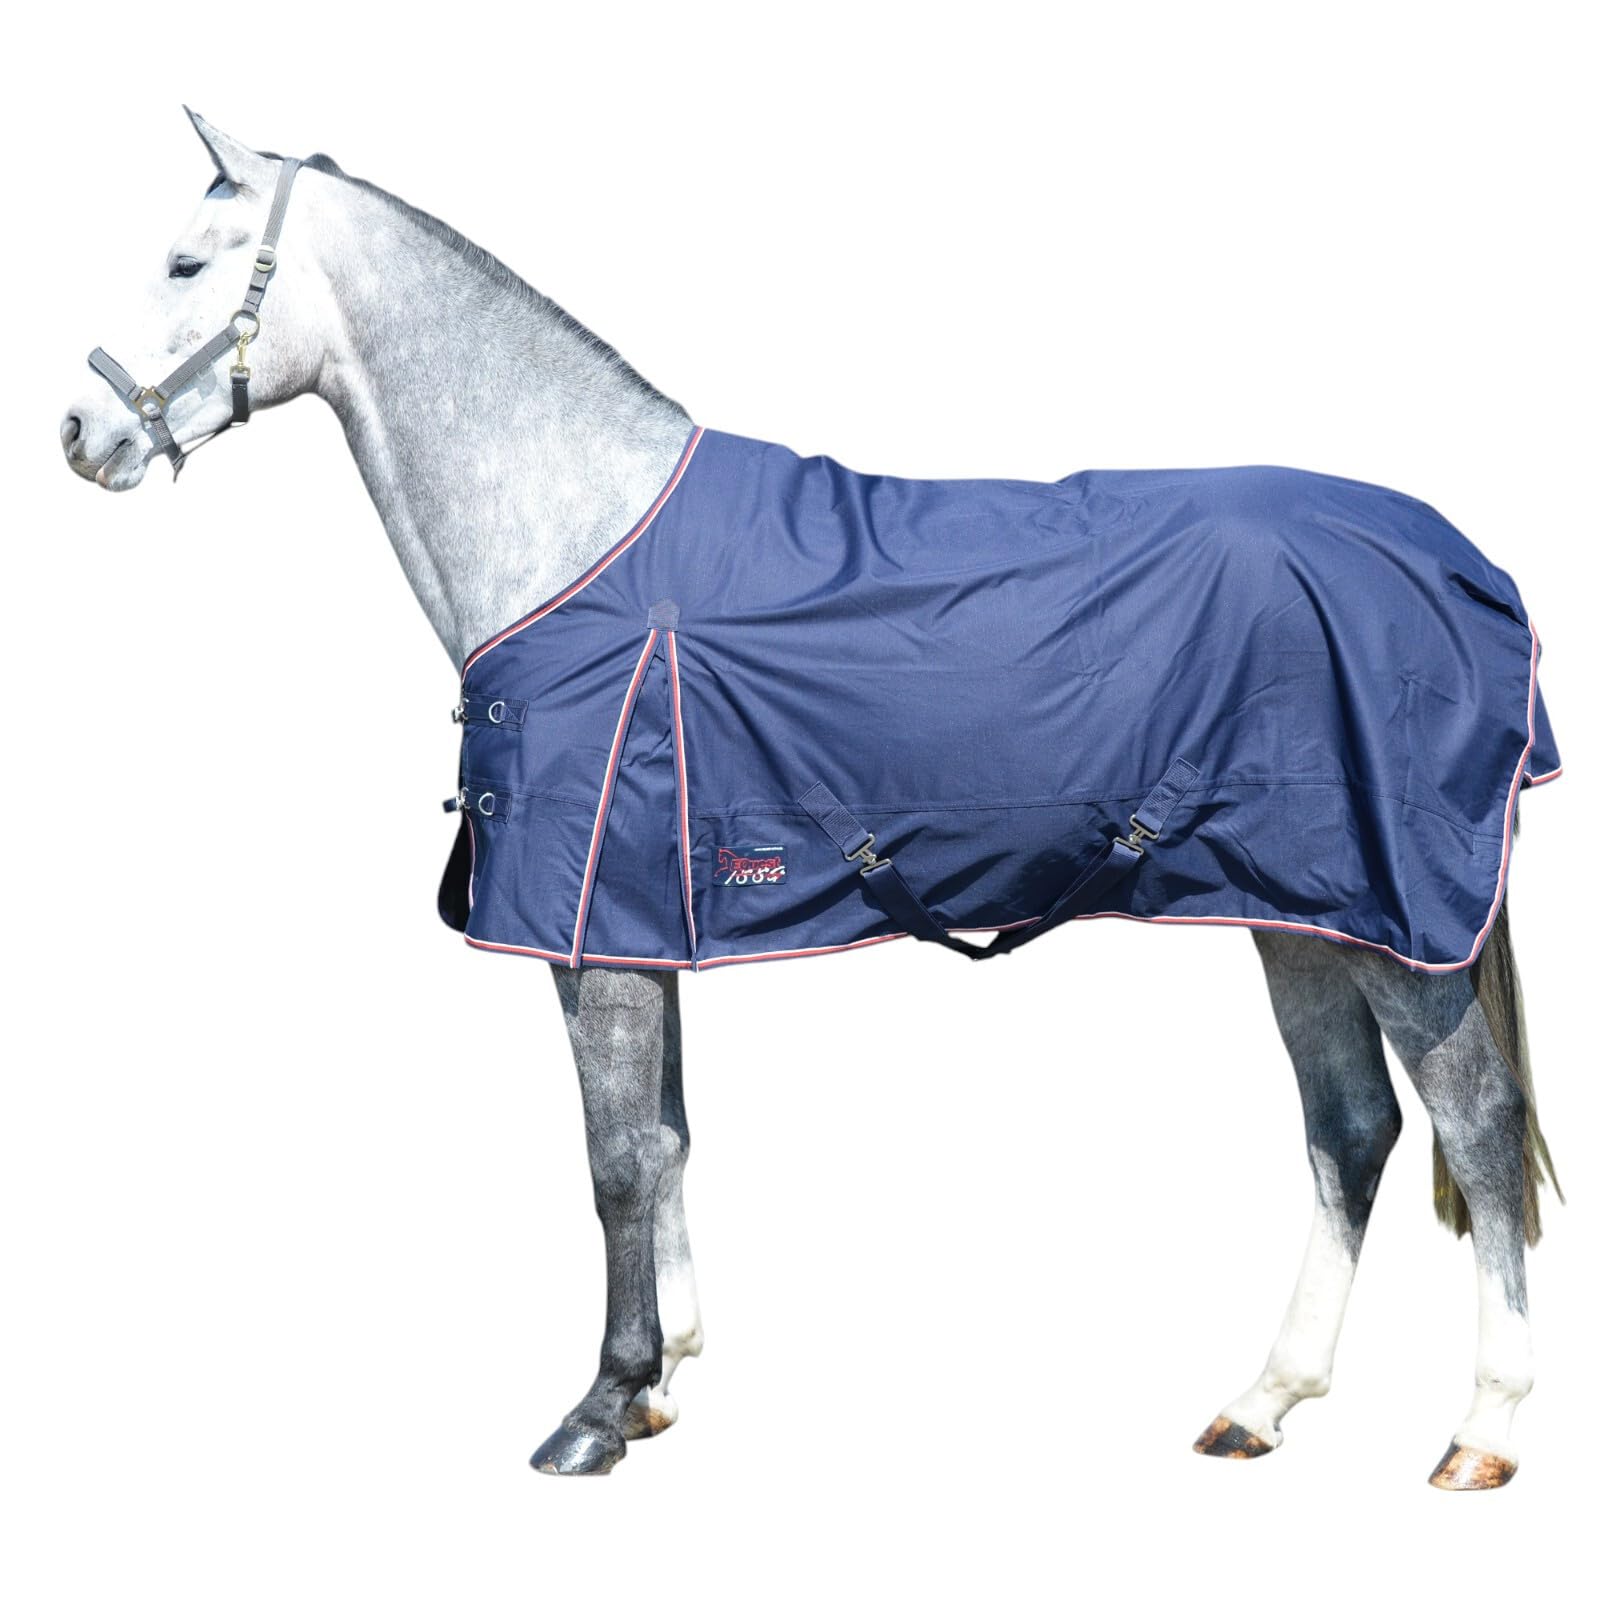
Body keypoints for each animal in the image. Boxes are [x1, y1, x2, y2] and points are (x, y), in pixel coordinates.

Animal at [58, 110, 1562, 1487]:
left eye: (186, 261)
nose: (80, 432)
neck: (579, 538)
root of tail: (1459, 560)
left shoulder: (591, 935)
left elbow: (614, 1159)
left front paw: (598, 1408)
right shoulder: (638, 925)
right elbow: (666, 1141)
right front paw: (661, 1381)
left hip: (1397, 930)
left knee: (1478, 1129)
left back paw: (1483, 1430)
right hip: (1295, 911)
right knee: (1351, 1130)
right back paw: (1262, 1400)